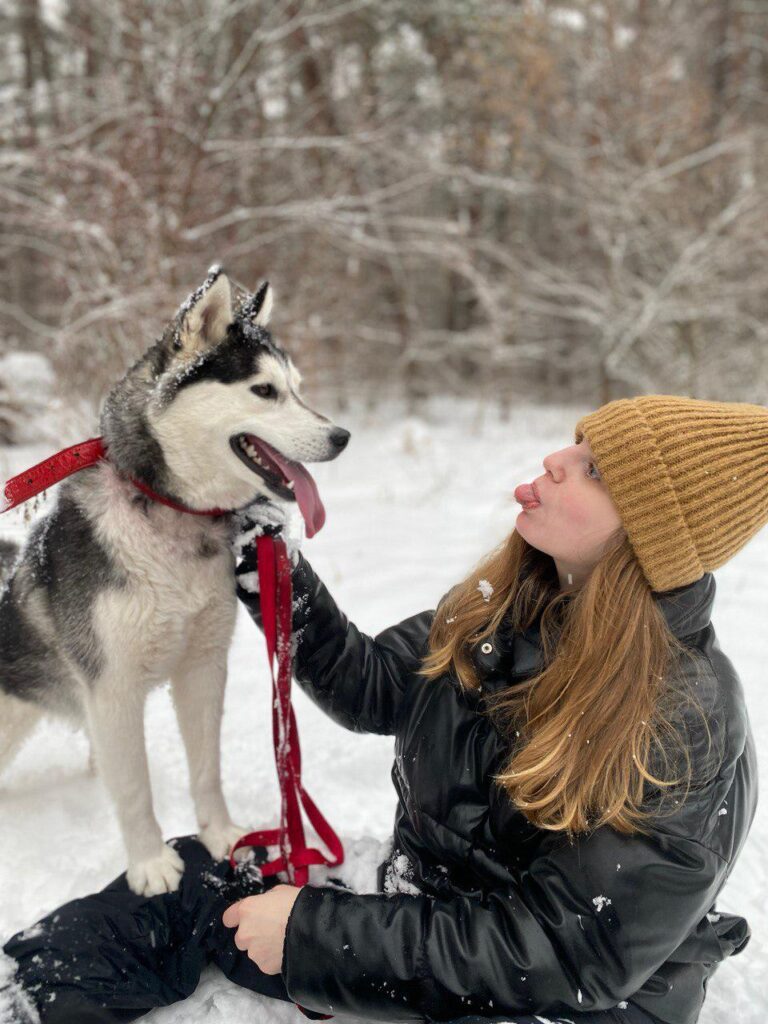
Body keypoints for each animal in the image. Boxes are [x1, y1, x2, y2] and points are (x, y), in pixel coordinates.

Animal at [1, 266, 350, 897]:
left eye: (298, 387)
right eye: (264, 391)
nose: (341, 436)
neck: (170, 514)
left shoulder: (203, 667)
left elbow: (206, 768)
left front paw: (222, 835)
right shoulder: (112, 688)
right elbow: (135, 788)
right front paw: (150, 864)